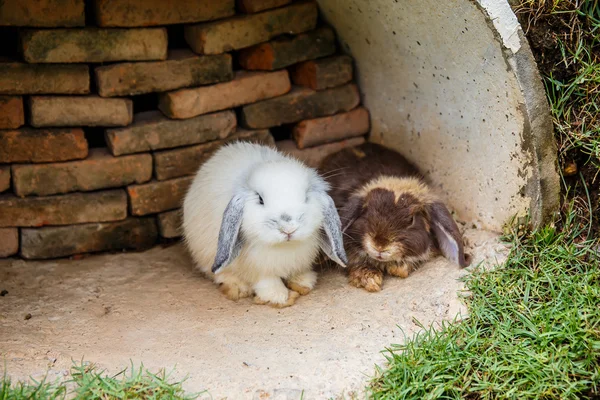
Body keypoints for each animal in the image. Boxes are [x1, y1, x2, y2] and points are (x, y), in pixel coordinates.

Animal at [182, 142, 346, 308]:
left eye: (306, 197)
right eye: (260, 199)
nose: (288, 229)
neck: (284, 247)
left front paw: (303, 283)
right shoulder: (259, 270)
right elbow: (267, 281)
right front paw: (278, 296)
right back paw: (238, 287)